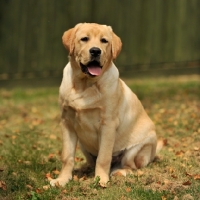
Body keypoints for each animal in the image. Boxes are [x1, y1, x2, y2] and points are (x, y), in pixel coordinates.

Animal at [50, 23, 159, 188]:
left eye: (104, 41)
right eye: (84, 39)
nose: (95, 51)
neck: (85, 85)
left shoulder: (107, 124)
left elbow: (103, 157)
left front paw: (100, 179)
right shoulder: (66, 122)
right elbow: (67, 156)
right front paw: (62, 179)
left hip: (137, 148)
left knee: (131, 166)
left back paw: (119, 171)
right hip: (84, 146)